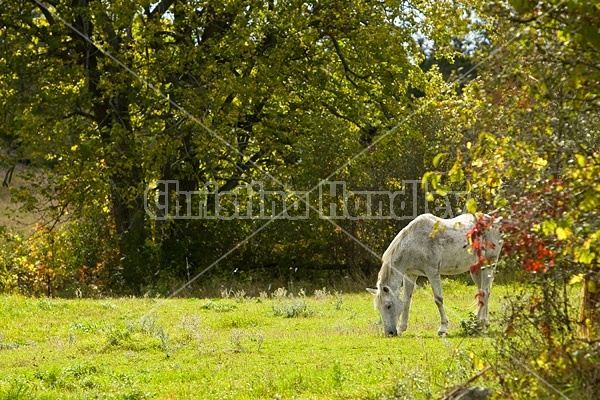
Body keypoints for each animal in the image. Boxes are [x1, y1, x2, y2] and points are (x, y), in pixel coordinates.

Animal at [366, 214, 502, 336]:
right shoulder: (410, 275)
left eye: (388, 306)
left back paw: (478, 324)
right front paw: (402, 328)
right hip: (476, 269)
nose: (389, 333)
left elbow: (438, 299)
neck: (414, 243)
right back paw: (483, 324)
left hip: (488, 265)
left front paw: (443, 329)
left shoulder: (432, 272)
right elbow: (406, 301)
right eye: (378, 308)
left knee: (484, 292)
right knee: (484, 292)